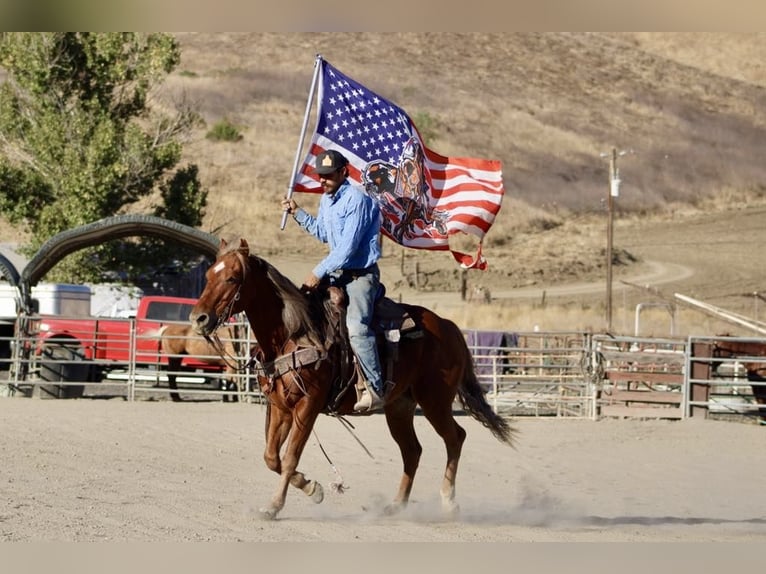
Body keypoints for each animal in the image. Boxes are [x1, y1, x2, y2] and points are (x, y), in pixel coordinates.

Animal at [189, 238, 520, 520]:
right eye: (207, 275)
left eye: (232, 278)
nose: (198, 318)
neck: (294, 334)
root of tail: (449, 327)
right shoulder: (280, 406)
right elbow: (272, 457)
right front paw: (312, 487)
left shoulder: (308, 406)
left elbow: (291, 455)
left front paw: (274, 506)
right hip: (399, 407)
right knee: (412, 451)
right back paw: (396, 505)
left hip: (435, 402)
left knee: (455, 438)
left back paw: (449, 502)